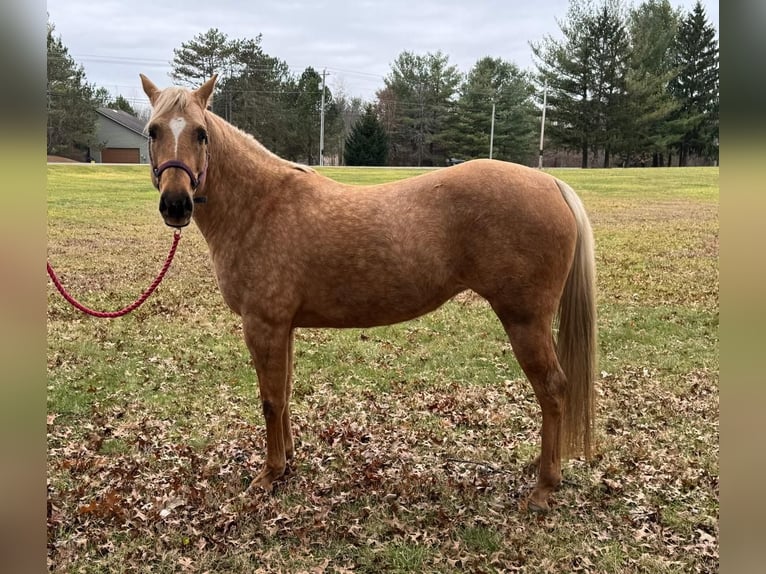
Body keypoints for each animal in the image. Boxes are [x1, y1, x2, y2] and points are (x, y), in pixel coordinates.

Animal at [142, 73, 600, 512]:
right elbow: (285, 394)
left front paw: (269, 474)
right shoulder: (282, 327)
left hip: (525, 321)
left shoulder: (263, 325)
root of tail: (551, 182)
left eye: (201, 133)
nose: (176, 205)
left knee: (553, 389)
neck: (261, 205)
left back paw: (543, 487)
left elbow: (270, 399)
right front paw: (287, 461)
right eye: (153, 131)